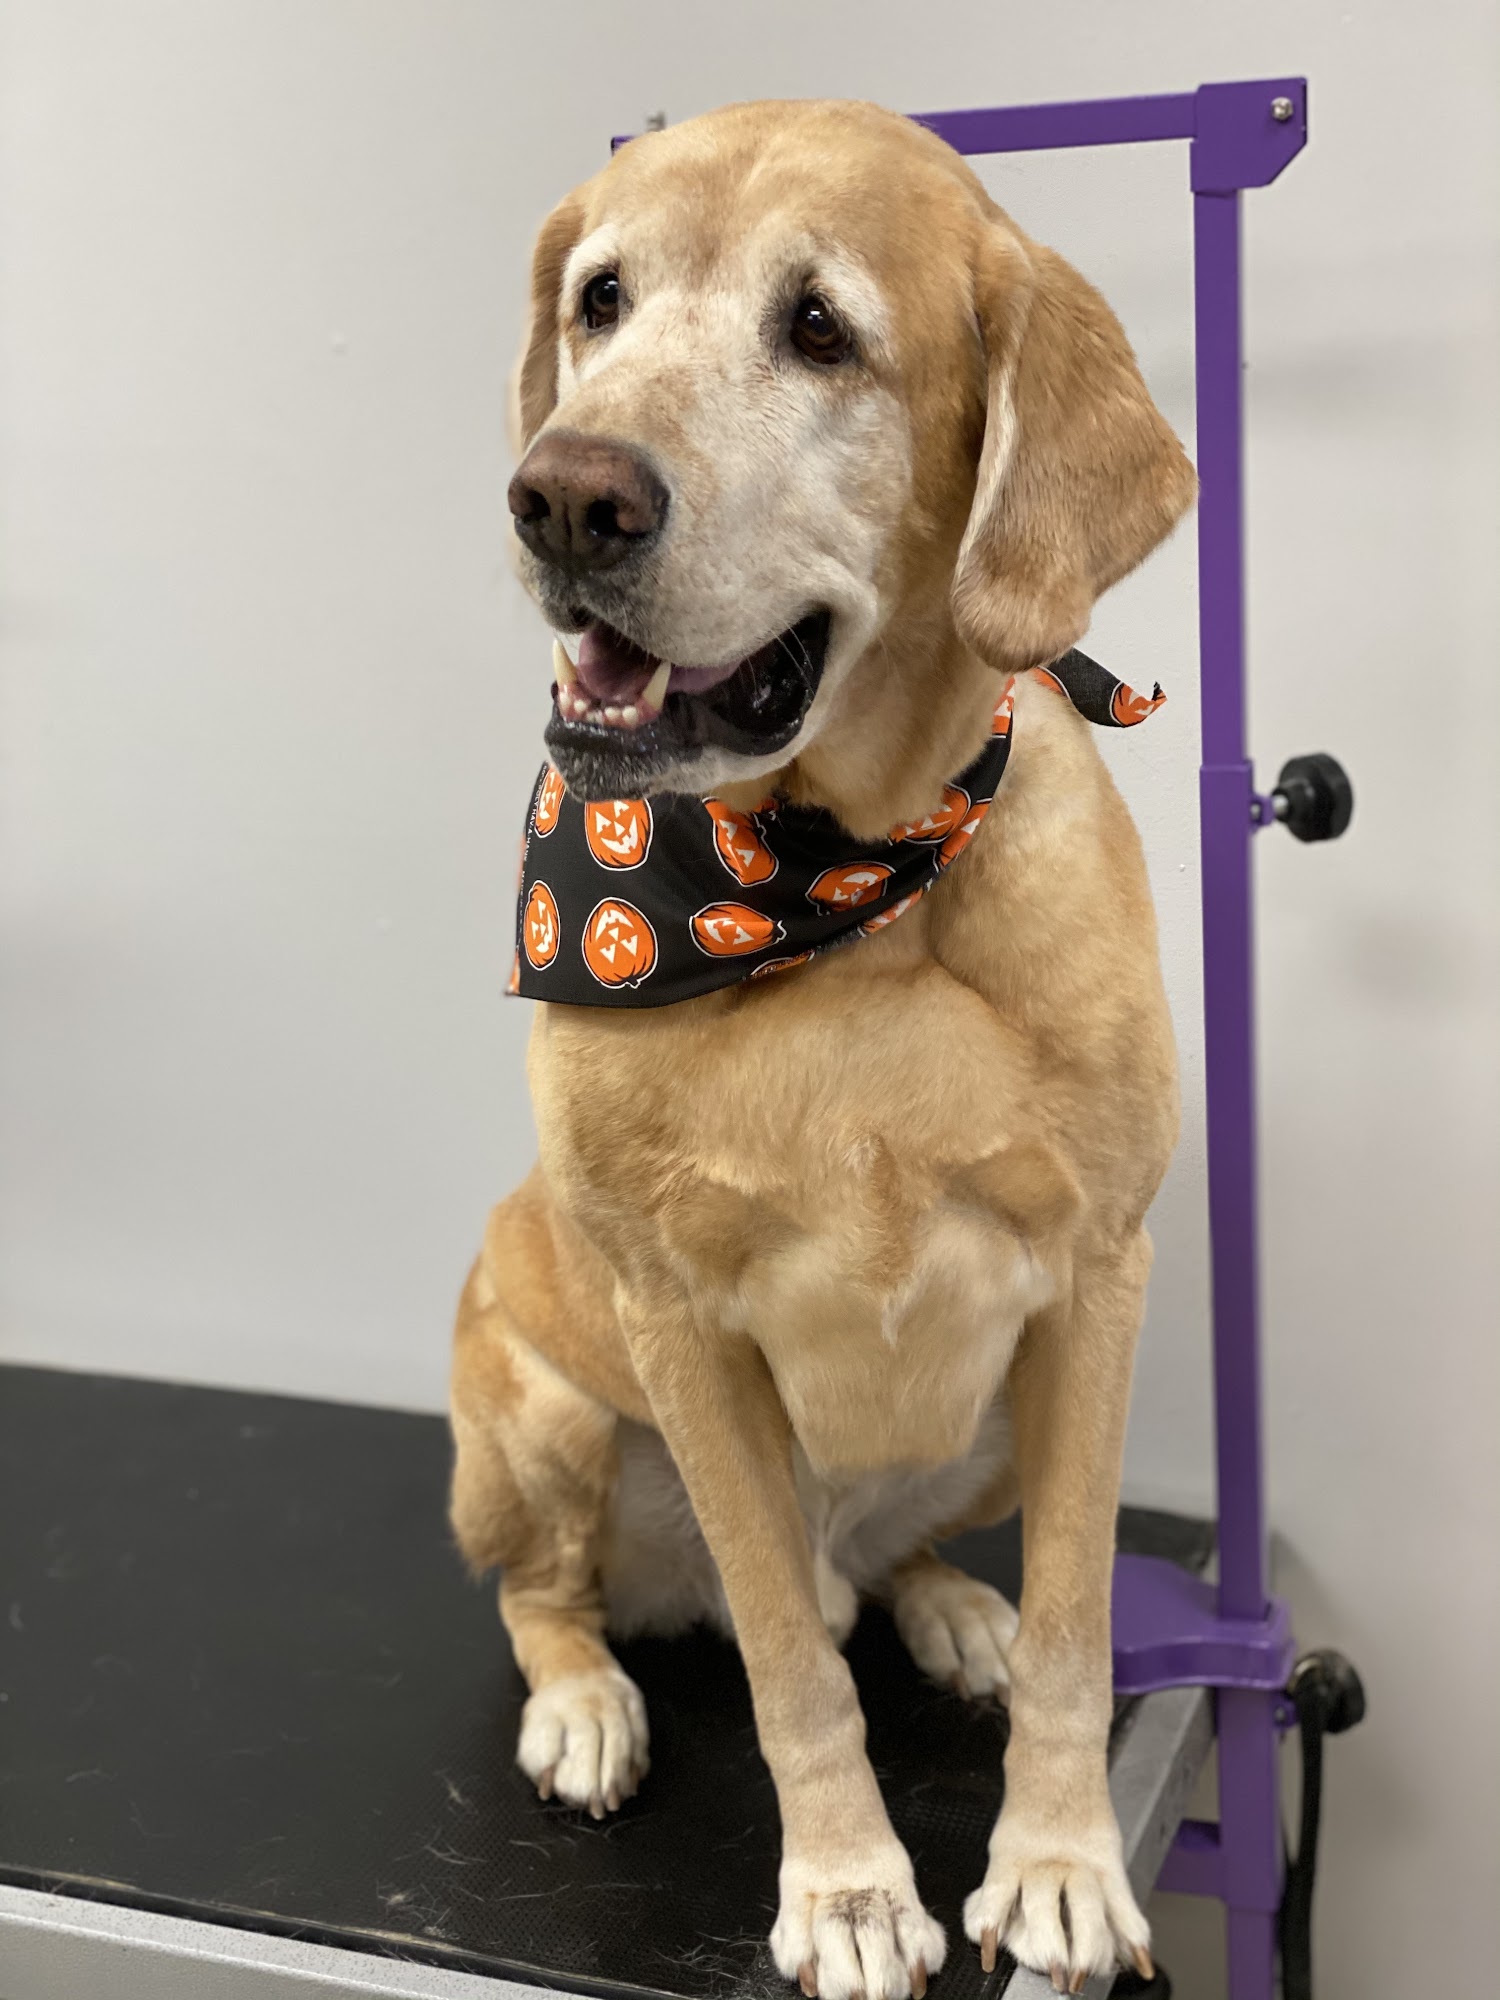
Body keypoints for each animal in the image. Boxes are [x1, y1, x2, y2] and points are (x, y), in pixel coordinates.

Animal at [449, 98, 1194, 1999]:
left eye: (821, 330)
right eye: (603, 297)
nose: (563, 494)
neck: (843, 891)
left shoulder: (1099, 1282)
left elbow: (1084, 1623)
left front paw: (1061, 1863)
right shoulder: (685, 1330)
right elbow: (791, 1665)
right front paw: (851, 1893)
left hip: (996, 1420)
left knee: (909, 1559)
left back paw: (944, 1605)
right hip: (538, 1426)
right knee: (558, 1598)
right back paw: (585, 1702)